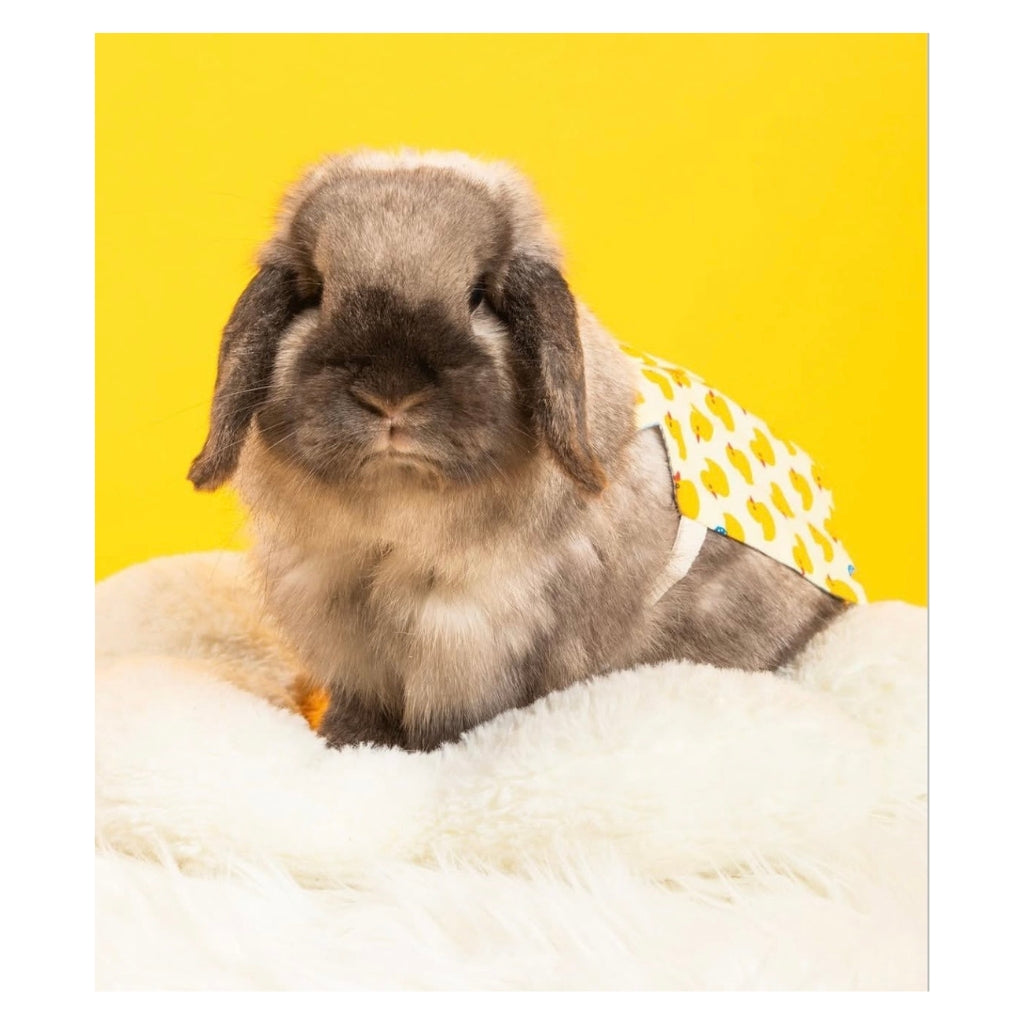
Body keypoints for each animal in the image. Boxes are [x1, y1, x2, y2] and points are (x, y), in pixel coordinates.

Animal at [189, 149, 848, 752]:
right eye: (317, 293)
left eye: (480, 295)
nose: (391, 395)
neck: (397, 510)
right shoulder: (345, 630)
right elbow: (361, 707)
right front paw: (345, 743)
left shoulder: (475, 634)